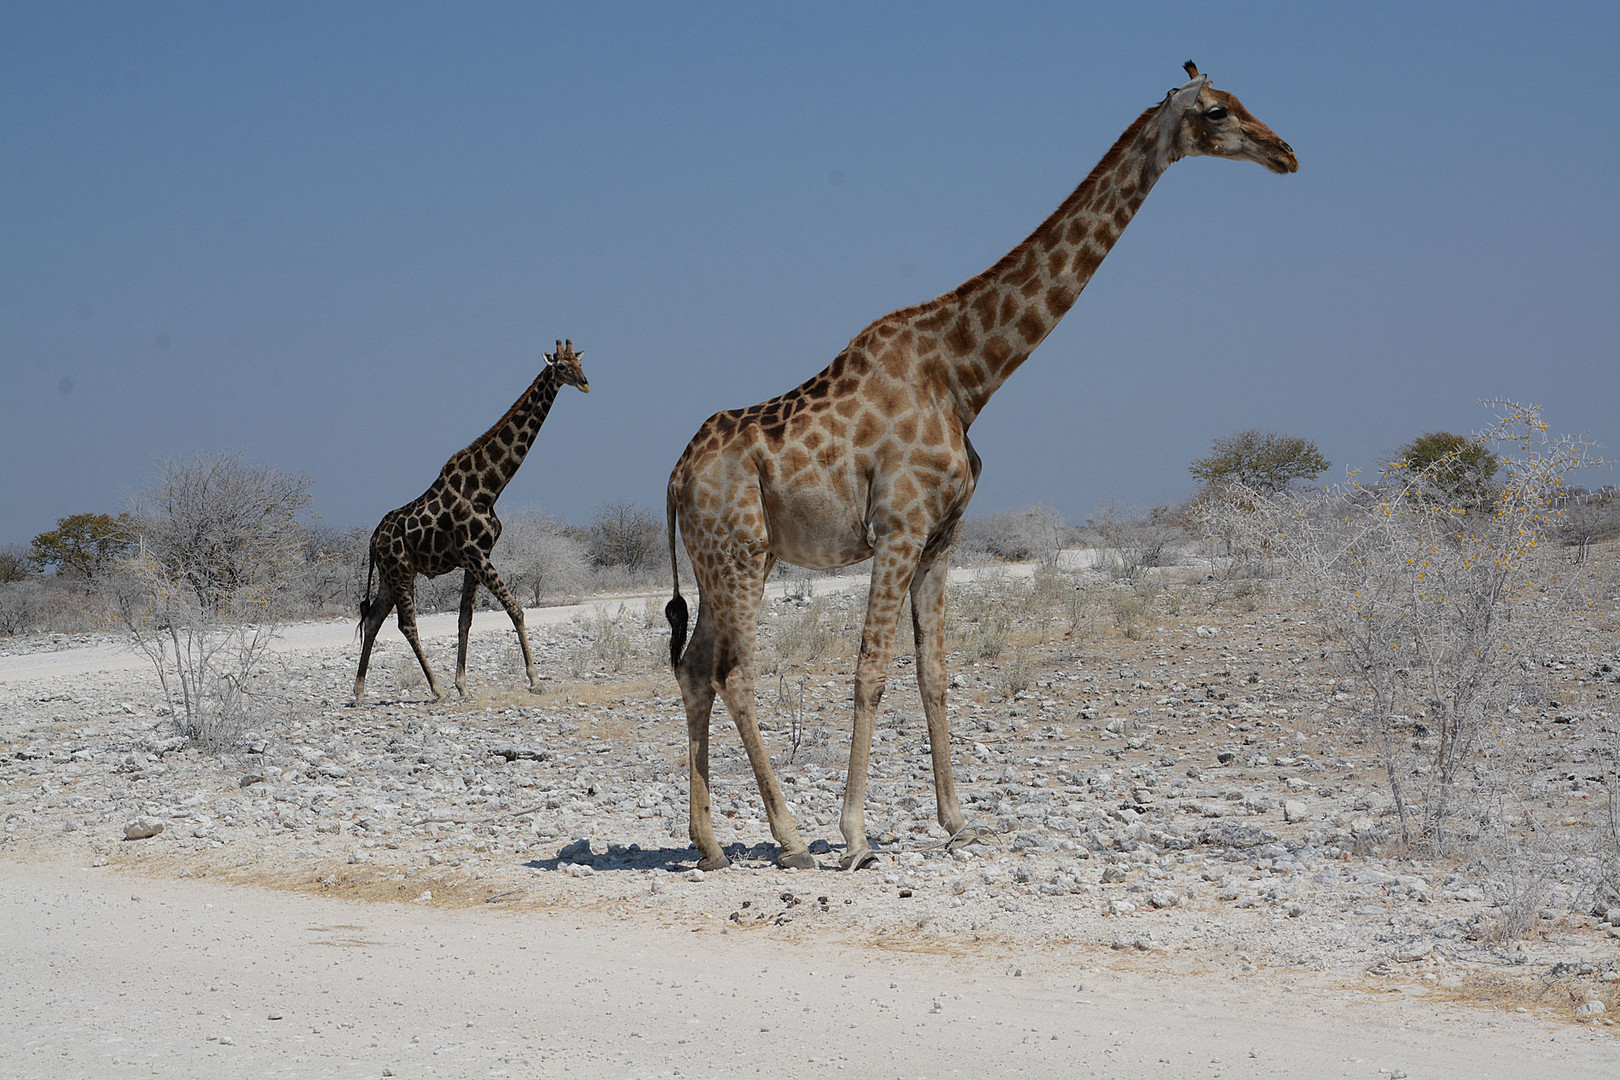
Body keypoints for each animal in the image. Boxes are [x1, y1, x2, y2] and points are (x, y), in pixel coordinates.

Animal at [351, 341, 592, 705]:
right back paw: (434, 689)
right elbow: (516, 609)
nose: (585, 383)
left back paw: (359, 691)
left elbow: (465, 619)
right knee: (406, 625)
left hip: (390, 576)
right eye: (561, 367)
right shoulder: (476, 555)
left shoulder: (475, 558)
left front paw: (463, 684)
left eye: (578, 362)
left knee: (373, 619)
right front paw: (535, 680)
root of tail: (374, 538)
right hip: (400, 572)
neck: (488, 488)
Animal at [664, 63, 1296, 874]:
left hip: (733, 557)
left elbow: (934, 671)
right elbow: (871, 670)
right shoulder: (898, 528)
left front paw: (958, 821)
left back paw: (710, 844)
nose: (1285, 153)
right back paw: (792, 838)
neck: (967, 374)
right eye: (1217, 111)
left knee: (695, 669)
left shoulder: (942, 537)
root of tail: (676, 477)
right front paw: (856, 834)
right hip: (738, 553)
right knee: (735, 673)